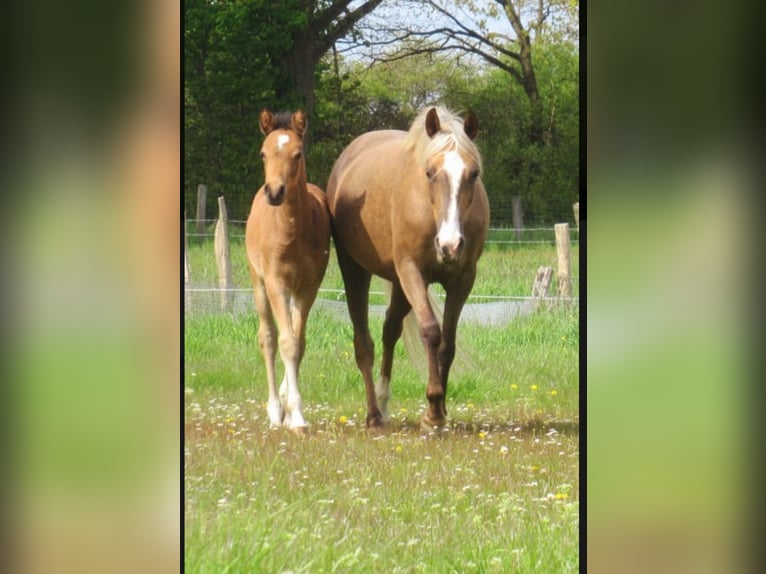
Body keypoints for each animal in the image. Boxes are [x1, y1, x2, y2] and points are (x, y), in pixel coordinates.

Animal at [246, 109, 330, 432]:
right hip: (258, 283)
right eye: (263, 153)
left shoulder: (309, 286)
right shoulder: (275, 283)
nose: (275, 192)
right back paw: (273, 410)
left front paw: (294, 414)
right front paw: (291, 412)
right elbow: (284, 341)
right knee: (268, 338)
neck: (292, 231)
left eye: (298, 153)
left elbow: (297, 343)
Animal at [328, 108, 488, 432]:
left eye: (473, 173)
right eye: (430, 172)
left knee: (390, 329)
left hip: (400, 285)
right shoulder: (412, 272)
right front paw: (433, 413)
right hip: (355, 270)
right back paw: (374, 415)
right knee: (364, 342)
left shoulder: (463, 279)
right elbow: (431, 332)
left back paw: (383, 402)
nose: (450, 245)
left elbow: (447, 343)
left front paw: (441, 411)